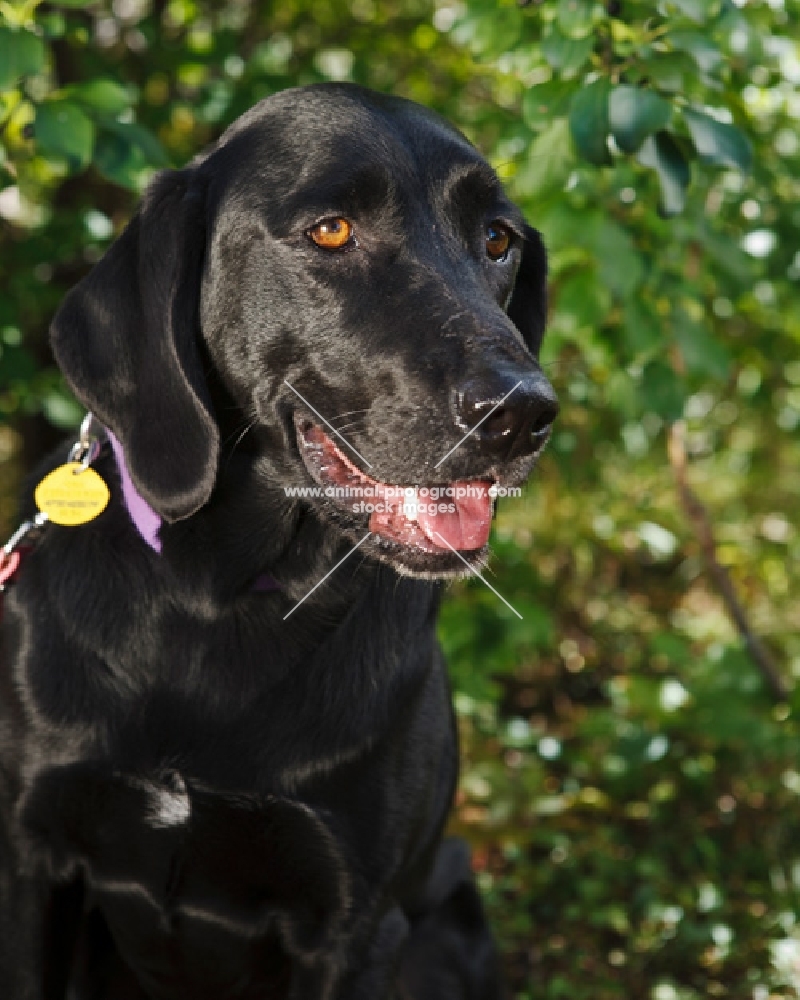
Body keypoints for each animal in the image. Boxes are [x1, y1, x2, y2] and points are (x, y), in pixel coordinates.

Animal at [0, 82, 560, 996]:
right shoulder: (31, 863)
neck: (219, 595)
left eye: (497, 240)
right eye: (330, 230)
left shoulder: (354, 928)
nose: (521, 413)